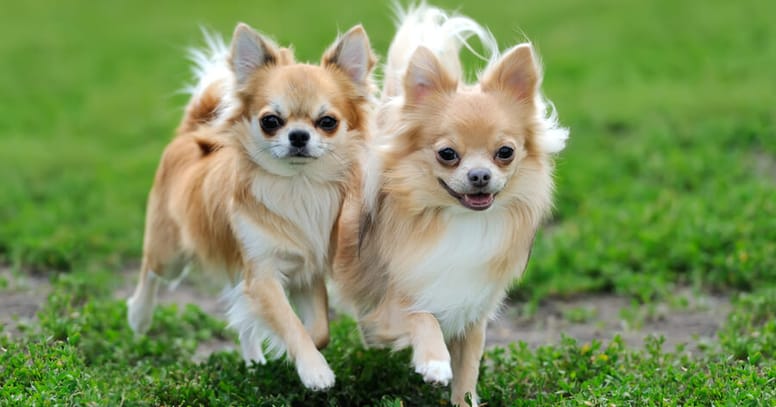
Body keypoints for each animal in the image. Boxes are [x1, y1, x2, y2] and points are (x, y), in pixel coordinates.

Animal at [128, 23, 376, 392]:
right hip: (169, 252)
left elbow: (317, 330)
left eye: (327, 122)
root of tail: (190, 132)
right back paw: (139, 316)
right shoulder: (263, 274)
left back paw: (254, 360)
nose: (298, 135)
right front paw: (314, 371)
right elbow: (290, 323)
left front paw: (290, 352)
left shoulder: (306, 271)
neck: (297, 186)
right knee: (150, 271)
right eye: (270, 121)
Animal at [330, 4, 568, 406]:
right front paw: (434, 361)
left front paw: (464, 398)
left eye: (505, 152)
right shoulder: (393, 303)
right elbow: (421, 316)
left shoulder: (471, 311)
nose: (480, 175)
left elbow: (468, 369)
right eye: (447, 154)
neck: (459, 221)